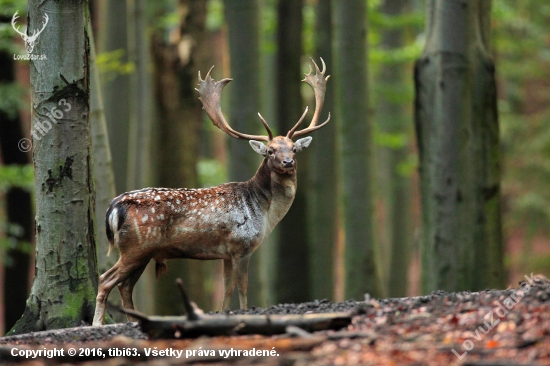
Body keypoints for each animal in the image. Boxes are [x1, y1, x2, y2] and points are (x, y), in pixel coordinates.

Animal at [92, 58, 330, 326]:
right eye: (270, 151)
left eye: (294, 149)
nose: (288, 162)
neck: (264, 213)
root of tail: (114, 206)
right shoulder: (241, 245)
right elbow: (243, 288)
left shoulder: (225, 253)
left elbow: (227, 290)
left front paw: (224, 313)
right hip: (137, 247)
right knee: (106, 280)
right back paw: (97, 322)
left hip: (142, 251)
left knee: (125, 286)